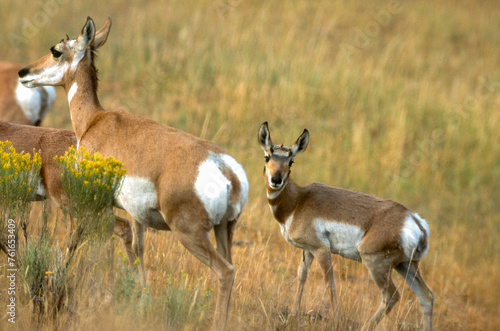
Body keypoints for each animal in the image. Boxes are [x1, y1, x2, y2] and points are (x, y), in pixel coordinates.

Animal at [18, 17, 249, 330]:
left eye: (56, 51)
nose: (23, 72)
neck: (95, 120)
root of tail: (225, 168)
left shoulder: (97, 205)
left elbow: (102, 243)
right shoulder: (137, 217)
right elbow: (138, 250)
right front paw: (141, 302)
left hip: (189, 234)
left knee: (225, 272)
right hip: (224, 230)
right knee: (231, 267)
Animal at [258, 122, 434, 331]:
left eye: (291, 161)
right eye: (267, 156)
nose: (276, 180)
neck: (298, 201)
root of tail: (414, 221)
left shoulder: (321, 249)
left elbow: (330, 284)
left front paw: (337, 321)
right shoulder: (307, 250)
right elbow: (302, 276)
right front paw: (293, 316)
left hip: (376, 265)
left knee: (391, 296)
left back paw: (365, 326)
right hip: (406, 266)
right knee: (427, 297)